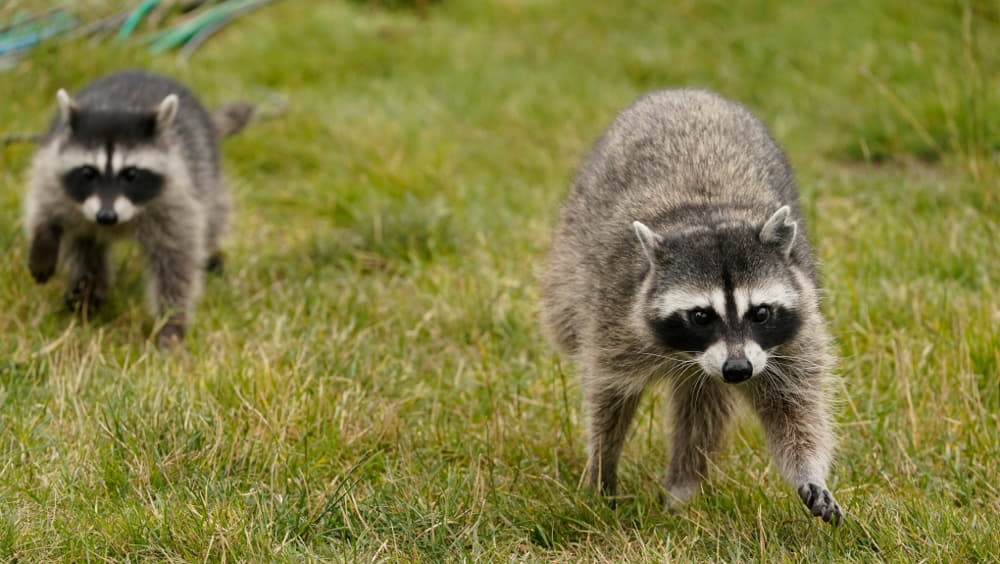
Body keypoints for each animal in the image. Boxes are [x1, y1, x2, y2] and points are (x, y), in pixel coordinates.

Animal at [23, 68, 252, 346]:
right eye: (88, 173)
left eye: (131, 174)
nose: (106, 216)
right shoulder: (53, 163)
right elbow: (44, 199)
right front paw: (43, 238)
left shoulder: (176, 192)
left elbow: (177, 261)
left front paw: (172, 320)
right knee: (84, 245)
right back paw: (87, 289)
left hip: (204, 165)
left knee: (214, 212)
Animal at [540, 88, 844, 524]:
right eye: (701, 316)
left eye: (760, 313)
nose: (738, 370)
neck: (709, 212)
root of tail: (684, 91)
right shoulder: (614, 313)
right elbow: (609, 395)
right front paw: (601, 469)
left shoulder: (795, 330)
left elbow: (794, 406)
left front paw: (809, 471)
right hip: (571, 250)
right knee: (564, 318)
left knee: (703, 407)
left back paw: (682, 487)